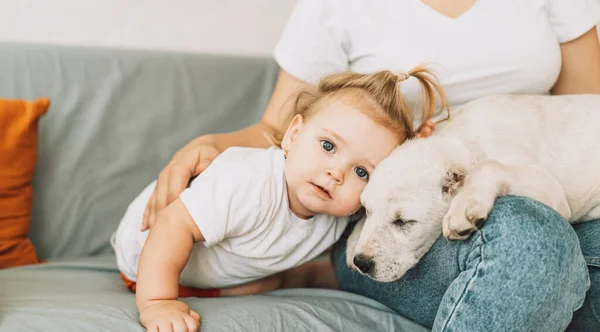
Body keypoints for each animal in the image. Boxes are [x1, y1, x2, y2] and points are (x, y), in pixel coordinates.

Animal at [346, 94, 600, 282]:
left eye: (404, 222)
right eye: (367, 210)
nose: (362, 262)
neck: (461, 139)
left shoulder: (552, 192)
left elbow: (488, 165)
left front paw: (464, 207)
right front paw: (353, 241)